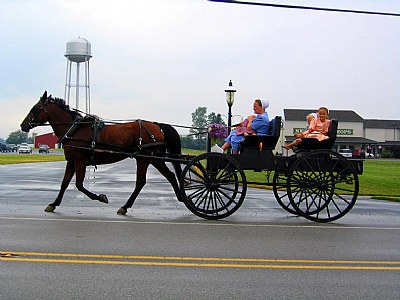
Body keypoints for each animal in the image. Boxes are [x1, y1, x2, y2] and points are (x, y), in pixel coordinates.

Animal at [21, 90, 184, 214]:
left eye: (34, 108)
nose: (23, 125)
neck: (74, 130)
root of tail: (157, 126)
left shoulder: (80, 162)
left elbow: (79, 185)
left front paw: (100, 197)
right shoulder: (72, 162)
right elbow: (64, 183)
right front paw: (53, 204)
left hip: (144, 159)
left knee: (141, 182)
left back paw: (125, 206)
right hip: (154, 158)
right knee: (170, 175)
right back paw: (181, 197)